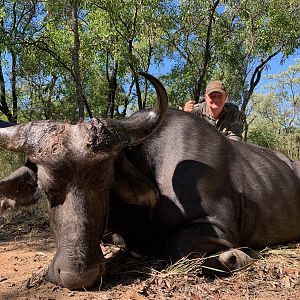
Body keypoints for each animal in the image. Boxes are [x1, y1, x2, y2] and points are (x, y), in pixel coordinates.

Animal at [0, 72, 300, 290]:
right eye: (46, 189)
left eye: (107, 184)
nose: (77, 276)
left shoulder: (217, 224)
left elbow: (174, 246)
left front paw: (233, 257)